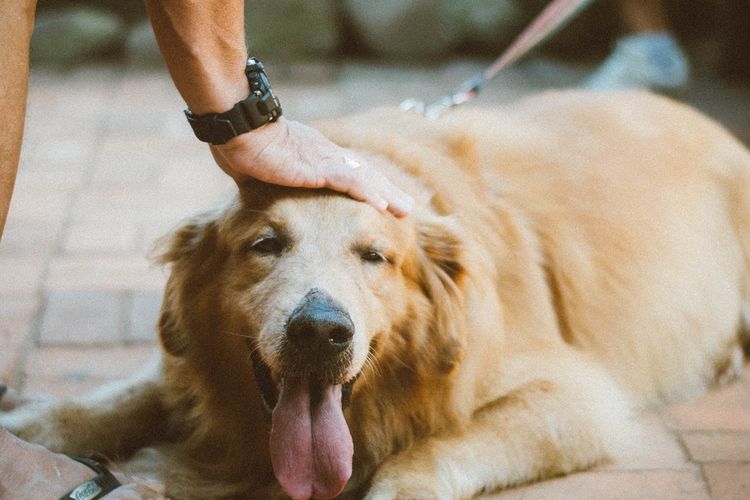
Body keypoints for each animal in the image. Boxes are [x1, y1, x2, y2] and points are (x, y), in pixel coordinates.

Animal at [1, 91, 750, 500]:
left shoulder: (575, 397)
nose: (319, 331)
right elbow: (107, 402)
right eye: (265, 244)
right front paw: (28, 427)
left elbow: (436, 447)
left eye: (376, 257)